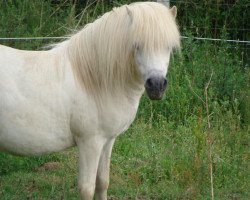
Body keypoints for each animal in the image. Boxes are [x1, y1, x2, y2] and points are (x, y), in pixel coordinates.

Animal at [0, 1, 180, 200]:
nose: (157, 85)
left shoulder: (107, 141)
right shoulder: (90, 143)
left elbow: (102, 182)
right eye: (137, 45)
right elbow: (87, 188)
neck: (94, 81)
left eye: (169, 46)